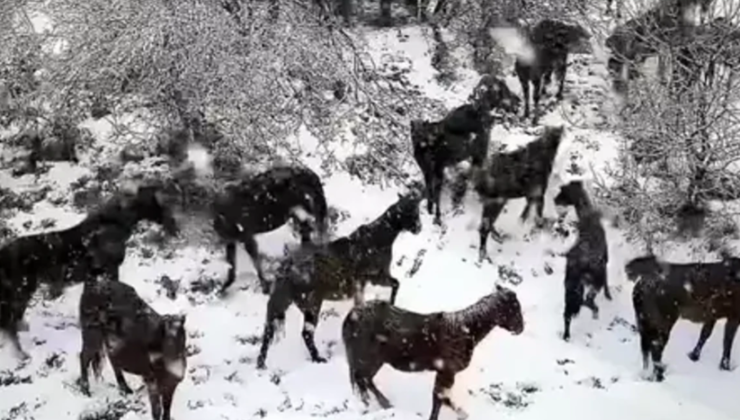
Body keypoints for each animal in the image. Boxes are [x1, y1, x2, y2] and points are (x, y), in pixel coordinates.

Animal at [0, 185, 178, 360]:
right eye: (157, 203)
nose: (173, 226)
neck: (113, 224)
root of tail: (4, 254)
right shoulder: (108, 272)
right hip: (22, 291)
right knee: (10, 324)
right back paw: (22, 354)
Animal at [214, 164, 330, 296]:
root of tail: (313, 175)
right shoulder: (231, 240)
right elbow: (231, 267)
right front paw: (223, 288)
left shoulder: (246, 237)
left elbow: (255, 264)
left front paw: (265, 287)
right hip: (301, 217)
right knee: (308, 240)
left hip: (310, 214)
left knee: (318, 239)